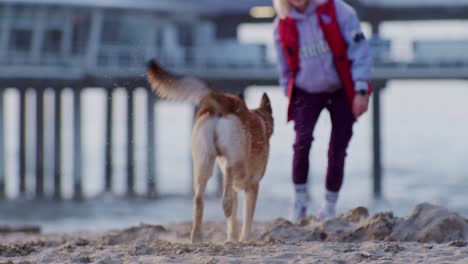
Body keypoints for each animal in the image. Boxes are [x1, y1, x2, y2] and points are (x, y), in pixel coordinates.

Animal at [146, 60, 274, 243]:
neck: (261, 121)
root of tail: (223, 98)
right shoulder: (253, 186)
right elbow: (247, 218)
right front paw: (244, 238)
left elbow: (232, 221)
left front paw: (232, 238)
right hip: (236, 159)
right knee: (229, 170)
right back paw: (225, 204)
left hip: (202, 163)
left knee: (199, 199)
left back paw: (197, 236)